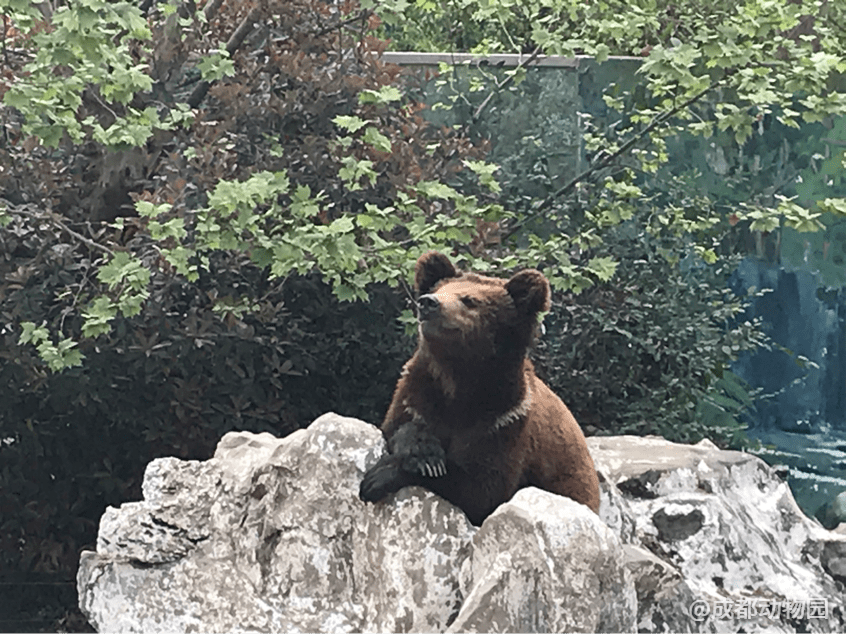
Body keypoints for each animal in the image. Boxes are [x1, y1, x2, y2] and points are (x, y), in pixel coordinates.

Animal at [360, 252, 604, 524]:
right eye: (439, 289)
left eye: (469, 300)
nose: (429, 302)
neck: (459, 381)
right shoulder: (415, 397)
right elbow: (397, 428)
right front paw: (423, 453)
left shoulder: (503, 422)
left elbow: (481, 489)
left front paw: (381, 477)